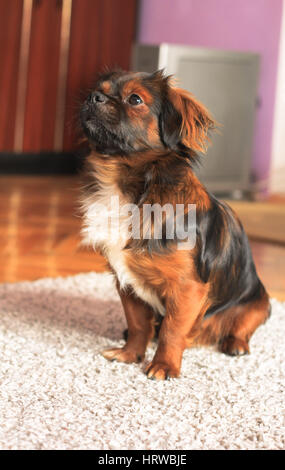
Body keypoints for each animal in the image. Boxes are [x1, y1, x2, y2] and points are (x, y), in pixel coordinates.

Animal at [79, 69, 268, 378]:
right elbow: (138, 324)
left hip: (259, 304)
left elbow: (172, 330)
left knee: (241, 326)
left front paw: (164, 366)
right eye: (99, 89)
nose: (93, 97)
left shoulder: (187, 287)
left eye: (135, 99)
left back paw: (235, 343)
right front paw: (130, 354)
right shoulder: (126, 282)